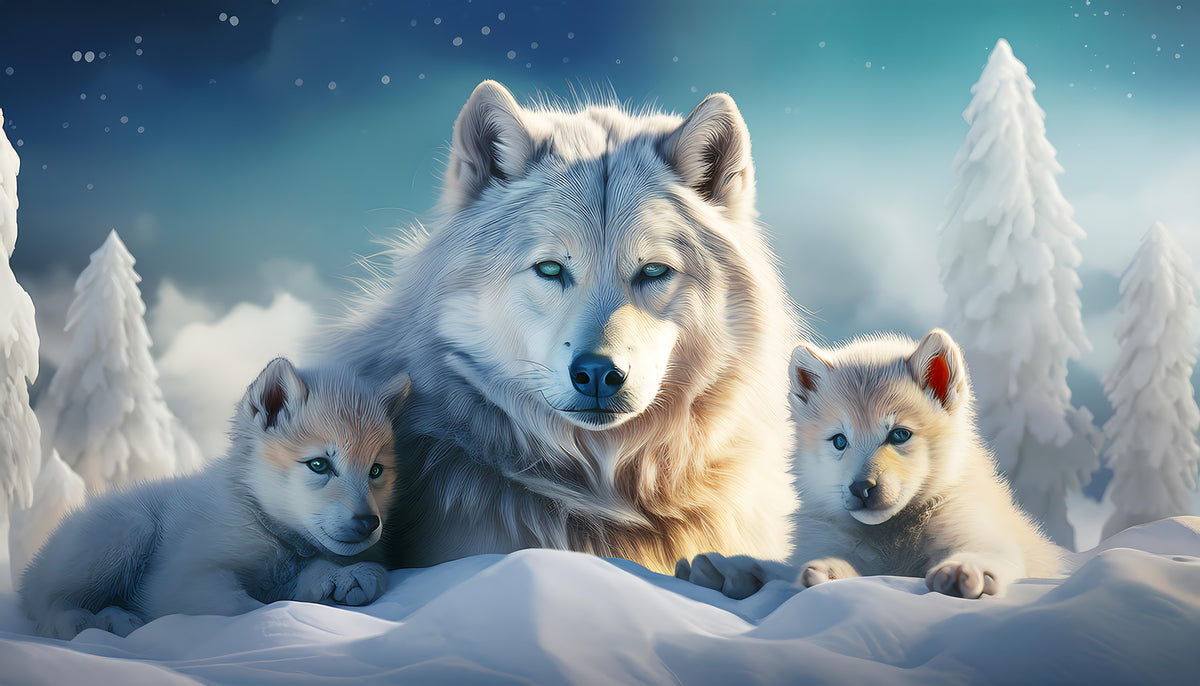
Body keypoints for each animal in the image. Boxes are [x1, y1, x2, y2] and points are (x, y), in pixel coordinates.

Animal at [20, 358, 410, 639]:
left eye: (376, 470)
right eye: (319, 464)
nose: (368, 523)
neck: (261, 519)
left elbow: (345, 570)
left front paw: (349, 578)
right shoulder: (183, 574)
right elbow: (244, 608)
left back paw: (117, 618)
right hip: (126, 530)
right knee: (45, 602)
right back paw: (86, 622)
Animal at [677, 329, 1061, 599]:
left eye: (899, 435)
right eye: (840, 441)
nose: (862, 488)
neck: (892, 540)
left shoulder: (980, 532)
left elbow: (993, 554)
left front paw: (965, 569)